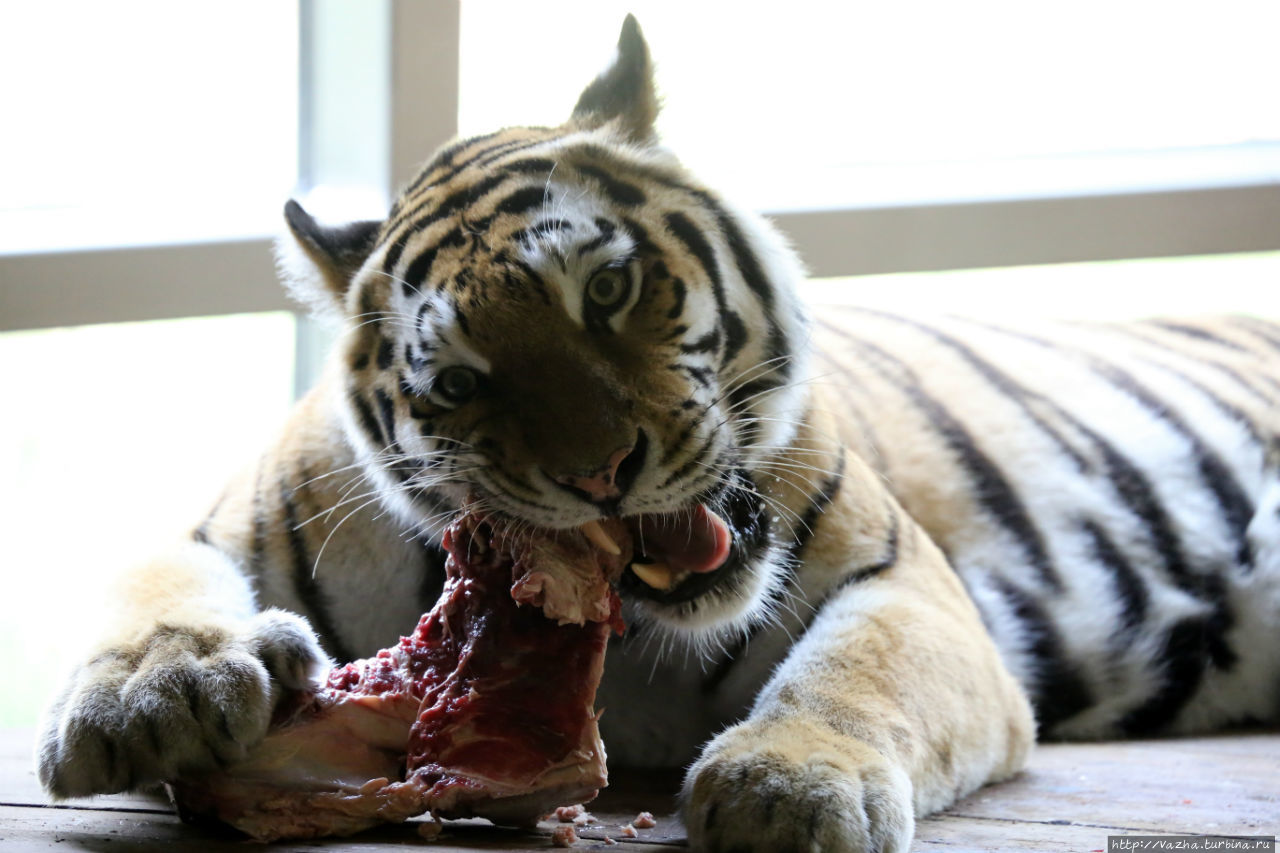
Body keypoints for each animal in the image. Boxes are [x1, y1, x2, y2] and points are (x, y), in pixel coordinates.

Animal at [35, 14, 1280, 850]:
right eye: (461, 384)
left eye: (606, 289)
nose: (602, 474)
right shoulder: (232, 521)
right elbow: (147, 592)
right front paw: (150, 697)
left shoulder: (909, 586)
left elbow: (854, 676)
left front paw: (786, 785)